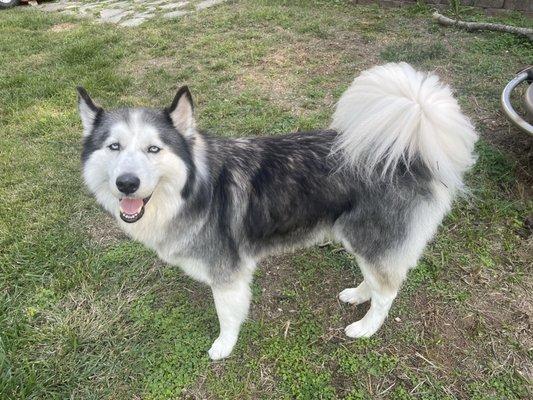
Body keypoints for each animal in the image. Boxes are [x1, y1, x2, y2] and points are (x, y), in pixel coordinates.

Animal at [79, 63, 478, 360]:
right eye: (114, 147)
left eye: (154, 149)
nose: (126, 184)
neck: (192, 190)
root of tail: (409, 150)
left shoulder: (227, 275)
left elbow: (227, 316)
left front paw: (223, 347)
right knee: (378, 279)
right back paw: (357, 294)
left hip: (370, 237)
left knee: (388, 290)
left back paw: (365, 327)